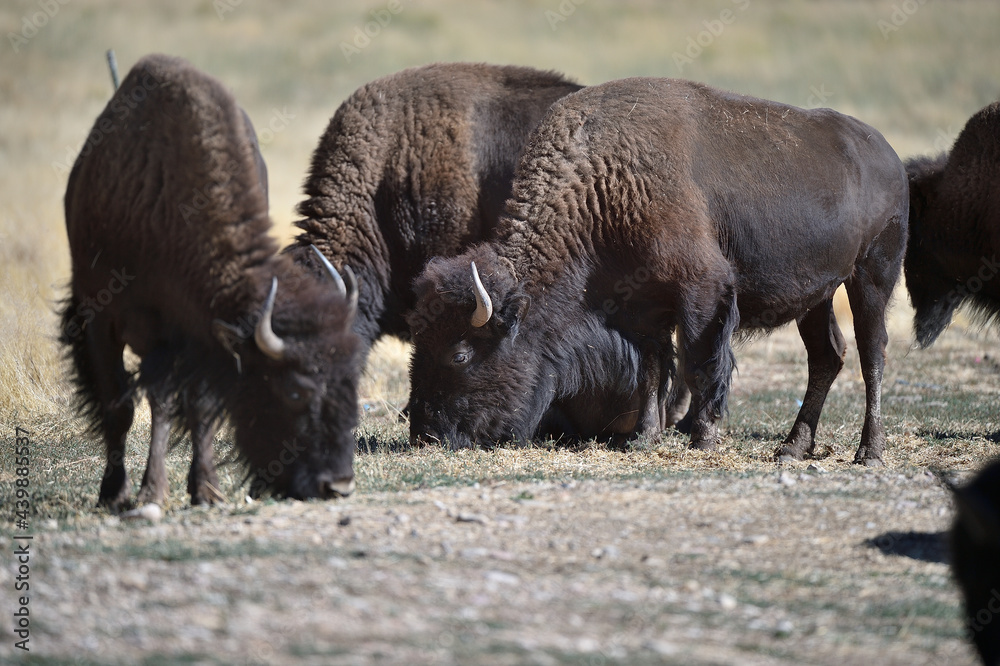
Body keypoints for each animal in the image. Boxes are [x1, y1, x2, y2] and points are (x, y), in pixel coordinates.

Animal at [60, 54, 364, 508]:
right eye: (294, 391)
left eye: (352, 383)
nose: (337, 485)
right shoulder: (105, 321)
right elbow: (124, 406)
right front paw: (126, 492)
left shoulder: (194, 336)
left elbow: (197, 405)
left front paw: (205, 490)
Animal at [404, 76, 908, 462]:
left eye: (460, 354)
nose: (423, 433)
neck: (601, 185)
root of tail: (888, 155)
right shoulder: (641, 310)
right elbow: (653, 368)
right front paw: (642, 437)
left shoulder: (703, 292)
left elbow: (699, 363)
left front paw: (703, 437)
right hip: (818, 296)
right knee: (827, 356)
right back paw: (792, 448)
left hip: (872, 276)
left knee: (872, 353)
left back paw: (869, 452)